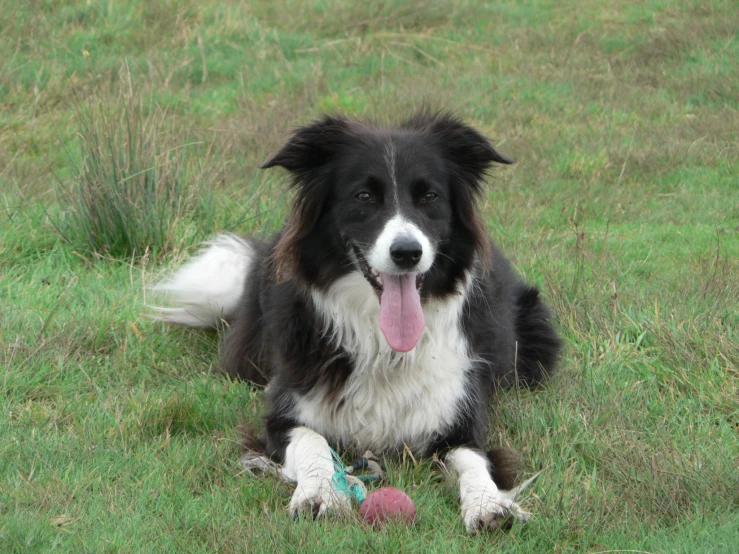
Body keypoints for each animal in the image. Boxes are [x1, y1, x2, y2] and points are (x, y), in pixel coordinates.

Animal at [153, 111, 564, 532]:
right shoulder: (283, 413)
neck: (384, 345)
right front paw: (320, 493)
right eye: (364, 196)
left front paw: (486, 503)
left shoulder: (461, 417)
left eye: (429, 196)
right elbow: (313, 443)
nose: (407, 253)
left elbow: (473, 461)